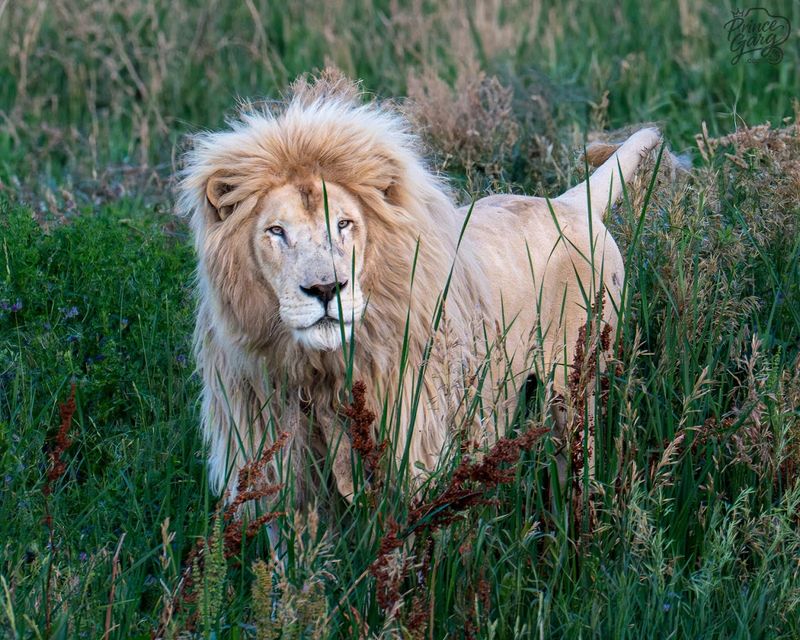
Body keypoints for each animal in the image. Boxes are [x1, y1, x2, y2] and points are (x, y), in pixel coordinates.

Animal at [178, 73, 662, 505]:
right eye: (276, 231)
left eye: (344, 224)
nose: (325, 288)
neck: (321, 370)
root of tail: (566, 202)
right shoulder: (282, 472)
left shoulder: (416, 453)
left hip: (576, 378)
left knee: (577, 457)